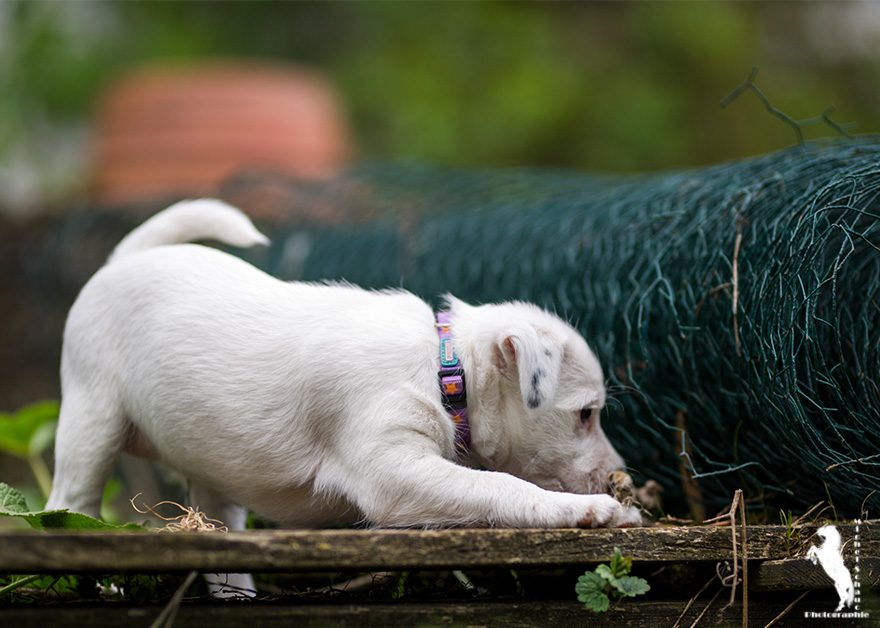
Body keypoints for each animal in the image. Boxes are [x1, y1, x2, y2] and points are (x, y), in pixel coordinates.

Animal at [46, 201, 640, 592]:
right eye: (586, 415)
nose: (623, 476)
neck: (445, 370)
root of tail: (124, 260)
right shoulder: (392, 471)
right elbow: (500, 487)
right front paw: (591, 511)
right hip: (90, 420)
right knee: (68, 503)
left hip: (211, 467)